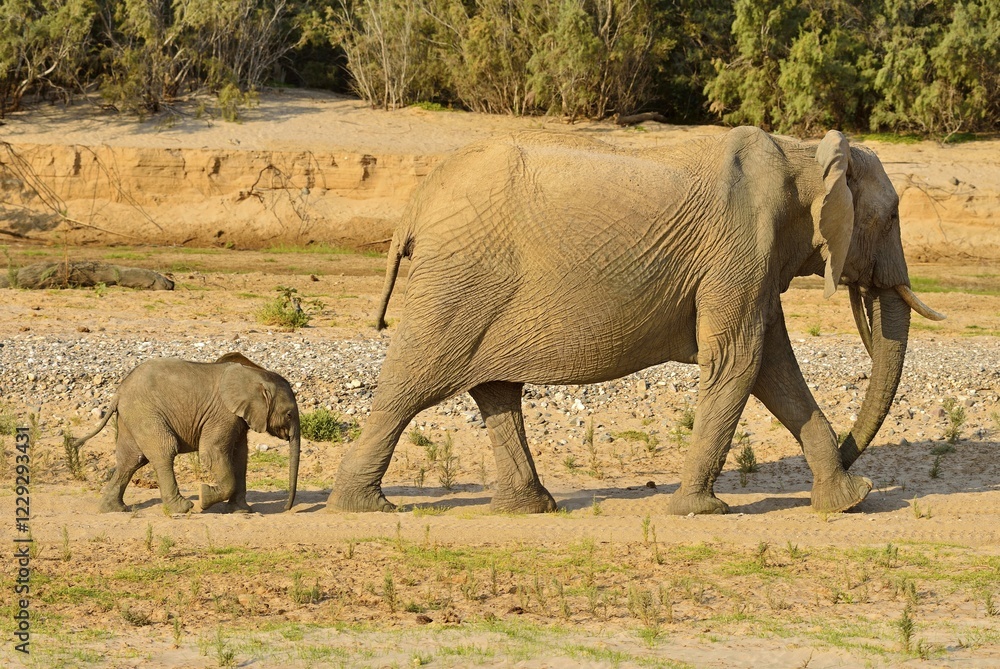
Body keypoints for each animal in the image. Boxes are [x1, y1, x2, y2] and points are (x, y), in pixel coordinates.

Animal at [75, 353, 301, 514]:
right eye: (289, 414)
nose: (286, 509)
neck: (254, 375)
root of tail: (119, 391)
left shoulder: (238, 418)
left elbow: (240, 457)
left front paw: (242, 511)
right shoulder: (222, 413)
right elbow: (212, 453)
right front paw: (204, 496)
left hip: (132, 416)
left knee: (131, 459)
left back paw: (114, 509)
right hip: (145, 413)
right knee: (164, 450)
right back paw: (183, 508)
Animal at [327, 127, 944, 516]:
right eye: (892, 216)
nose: (851, 449)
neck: (806, 155)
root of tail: (416, 202)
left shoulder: (753, 264)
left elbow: (773, 368)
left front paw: (851, 499)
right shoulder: (740, 248)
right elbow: (740, 363)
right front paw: (698, 511)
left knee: (494, 388)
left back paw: (529, 508)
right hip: (460, 279)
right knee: (411, 382)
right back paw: (365, 507)